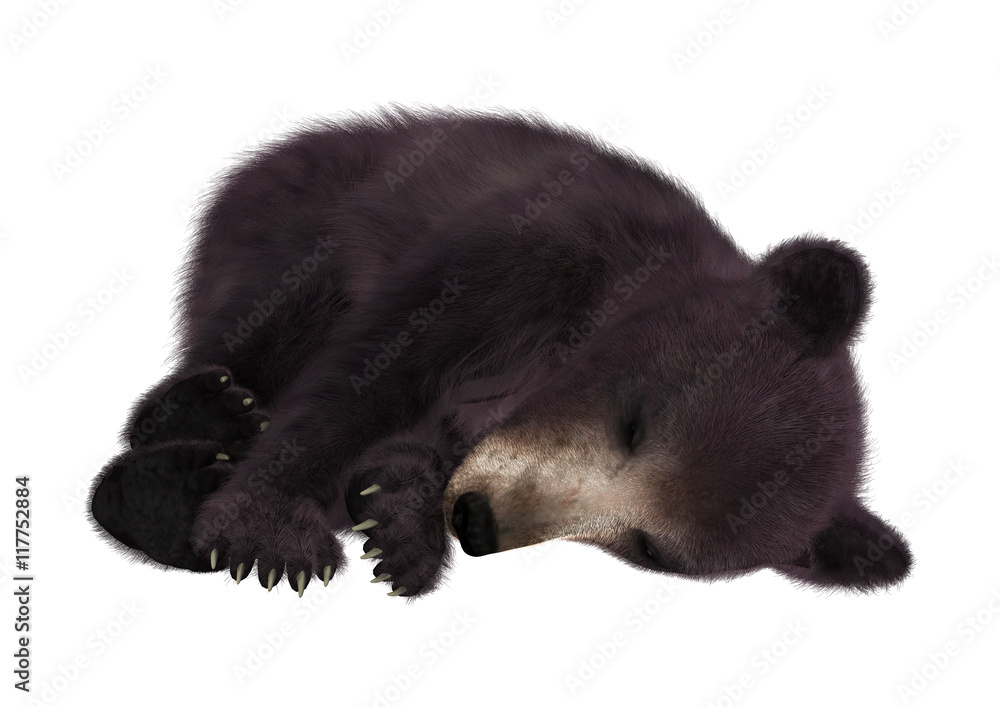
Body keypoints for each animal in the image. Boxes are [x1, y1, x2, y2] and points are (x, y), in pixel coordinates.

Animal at [88, 106, 913, 600]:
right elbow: (374, 372)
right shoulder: (525, 253)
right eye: (636, 422)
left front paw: (401, 522)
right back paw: (200, 423)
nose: (478, 519)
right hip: (287, 226)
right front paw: (269, 528)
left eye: (647, 543)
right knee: (257, 328)